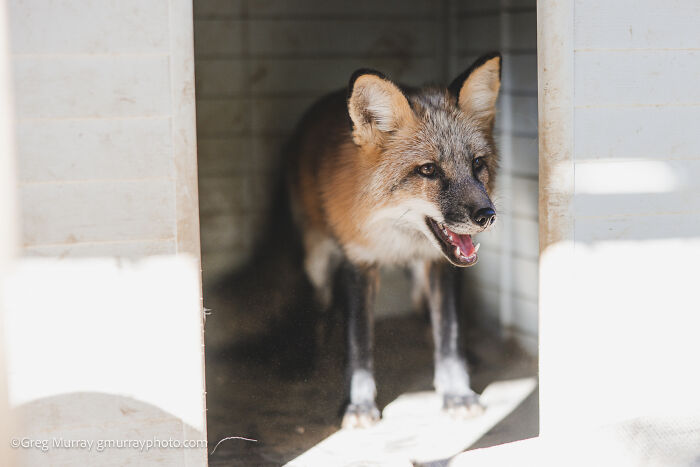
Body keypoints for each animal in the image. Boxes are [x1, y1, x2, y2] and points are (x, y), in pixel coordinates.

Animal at [284, 52, 502, 428]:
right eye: (428, 170)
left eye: (477, 164)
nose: (486, 215)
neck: (397, 240)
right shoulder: (357, 261)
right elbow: (359, 343)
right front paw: (358, 404)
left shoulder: (439, 265)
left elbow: (449, 335)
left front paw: (456, 392)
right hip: (317, 260)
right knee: (319, 304)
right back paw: (306, 354)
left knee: (420, 307)